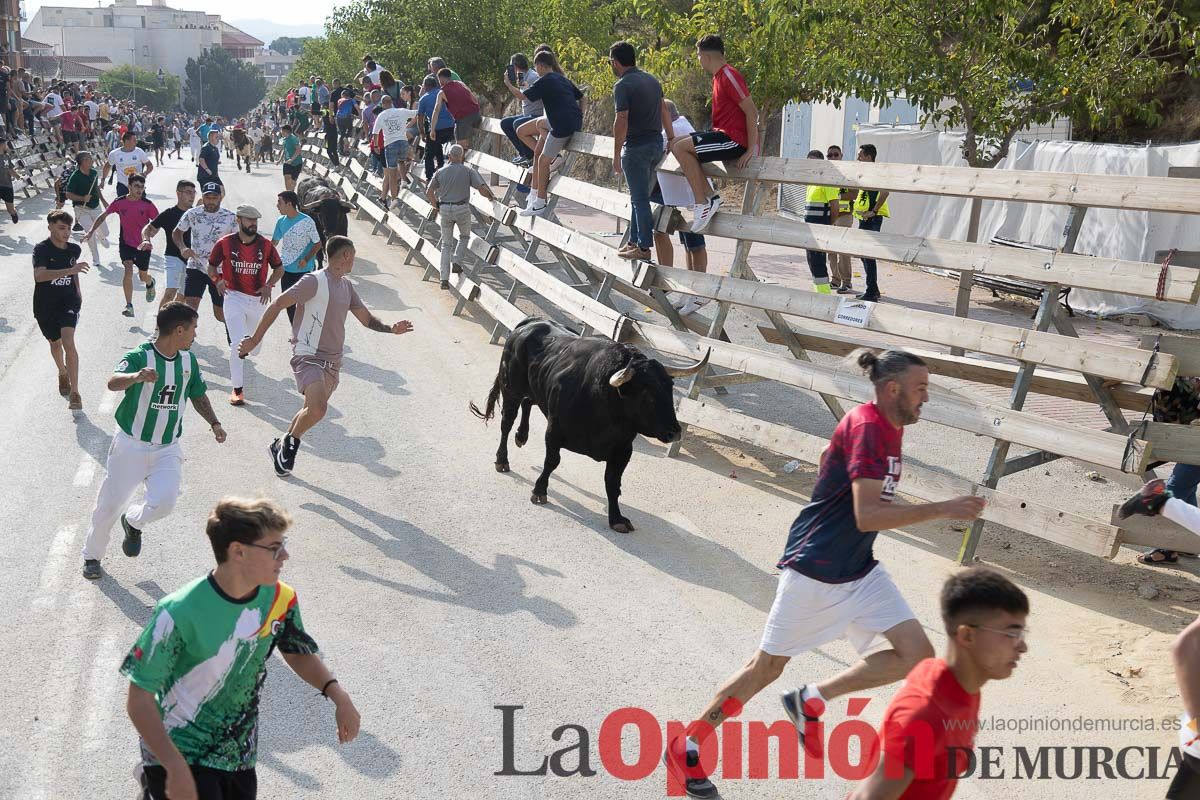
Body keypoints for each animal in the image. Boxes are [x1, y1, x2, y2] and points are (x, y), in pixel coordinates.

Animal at [468, 316, 705, 532]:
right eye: (647, 394)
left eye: (670, 389)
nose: (675, 432)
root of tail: (532, 322)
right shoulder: (554, 432)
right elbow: (551, 462)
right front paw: (539, 491)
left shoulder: (623, 450)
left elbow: (613, 482)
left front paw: (617, 518)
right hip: (511, 389)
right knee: (506, 423)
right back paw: (502, 459)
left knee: (528, 402)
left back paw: (521, 436)